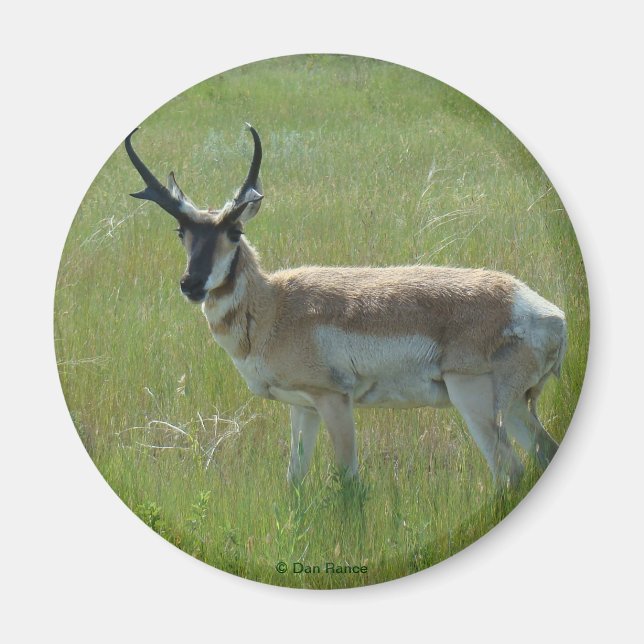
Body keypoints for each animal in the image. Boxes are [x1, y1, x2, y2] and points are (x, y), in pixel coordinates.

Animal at [124, 124, 566, 488]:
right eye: (181, 230)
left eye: (235, 231)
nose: (191, 284)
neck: (275, 306)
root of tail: (548, 314)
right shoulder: (302, 408)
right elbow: (294, 480)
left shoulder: (334, 400)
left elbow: (349, 481)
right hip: (515, 407)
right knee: (543, 451)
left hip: (473, 399)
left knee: (509, 469)